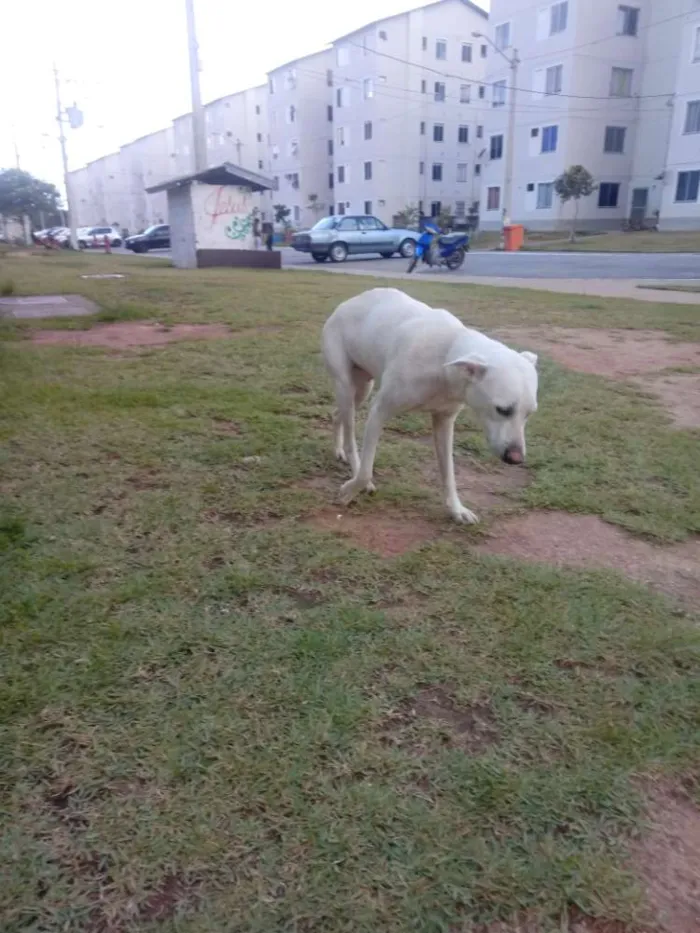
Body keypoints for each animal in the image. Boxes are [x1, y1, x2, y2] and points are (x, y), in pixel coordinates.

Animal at [322, 288, 540, 520]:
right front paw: (348, 491)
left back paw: (338, 450)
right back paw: (353, 468)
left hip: (362, 389)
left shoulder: (444, 422)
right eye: (502, 410)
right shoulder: (379, 412)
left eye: (529, 414)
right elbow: (366, 470)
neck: (446, 356)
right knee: (351, 440)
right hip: (347, 387)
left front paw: (457, 509)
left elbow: (449, 473)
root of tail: (348, 303)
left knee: (337, 414)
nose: (516, 459)